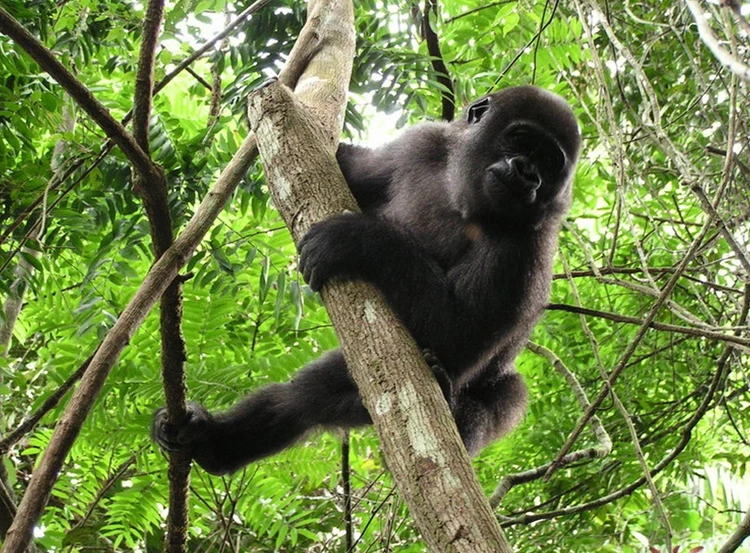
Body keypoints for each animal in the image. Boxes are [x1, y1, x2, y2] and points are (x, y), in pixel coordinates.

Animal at [152, 85, 581, 475]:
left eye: (549, 163)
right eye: (521, 140)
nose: (528, 173)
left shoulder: (527, 247)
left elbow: (456, 332)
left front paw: (359, 239)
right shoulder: (421, 143)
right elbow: (349, 170)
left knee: (506, 393)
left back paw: (445, 392)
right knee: (306, 397)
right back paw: (213, 442)